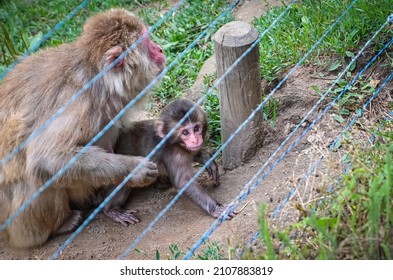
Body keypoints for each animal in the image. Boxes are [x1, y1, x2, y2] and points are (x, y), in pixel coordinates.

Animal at [0, 8, 165, 248]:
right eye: (146, 40)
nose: (160, 48)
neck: (97, 79)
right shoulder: (77, 104)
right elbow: (47, 158)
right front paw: (134, 169)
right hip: (17, 224)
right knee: (37, 177)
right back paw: (63, 223)